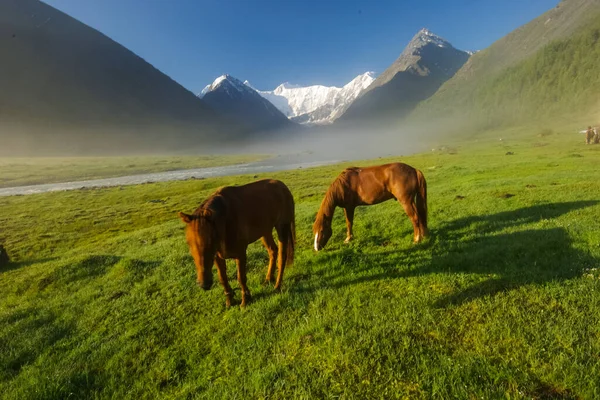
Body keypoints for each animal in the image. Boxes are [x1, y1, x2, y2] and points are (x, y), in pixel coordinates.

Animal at [179, 180, 296, 308]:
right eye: (188, 243)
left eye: (211, 240)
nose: (204, 284)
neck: (225, 220)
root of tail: (283, 186)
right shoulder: (217, 257)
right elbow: (223, 278)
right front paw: (229, 301)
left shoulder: (240, 254)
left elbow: (241, 278)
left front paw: (245, 300)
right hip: (265, 231)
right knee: (273, 251)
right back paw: (268, 279)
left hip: (282, 227)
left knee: (282, 256)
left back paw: (277, 286)